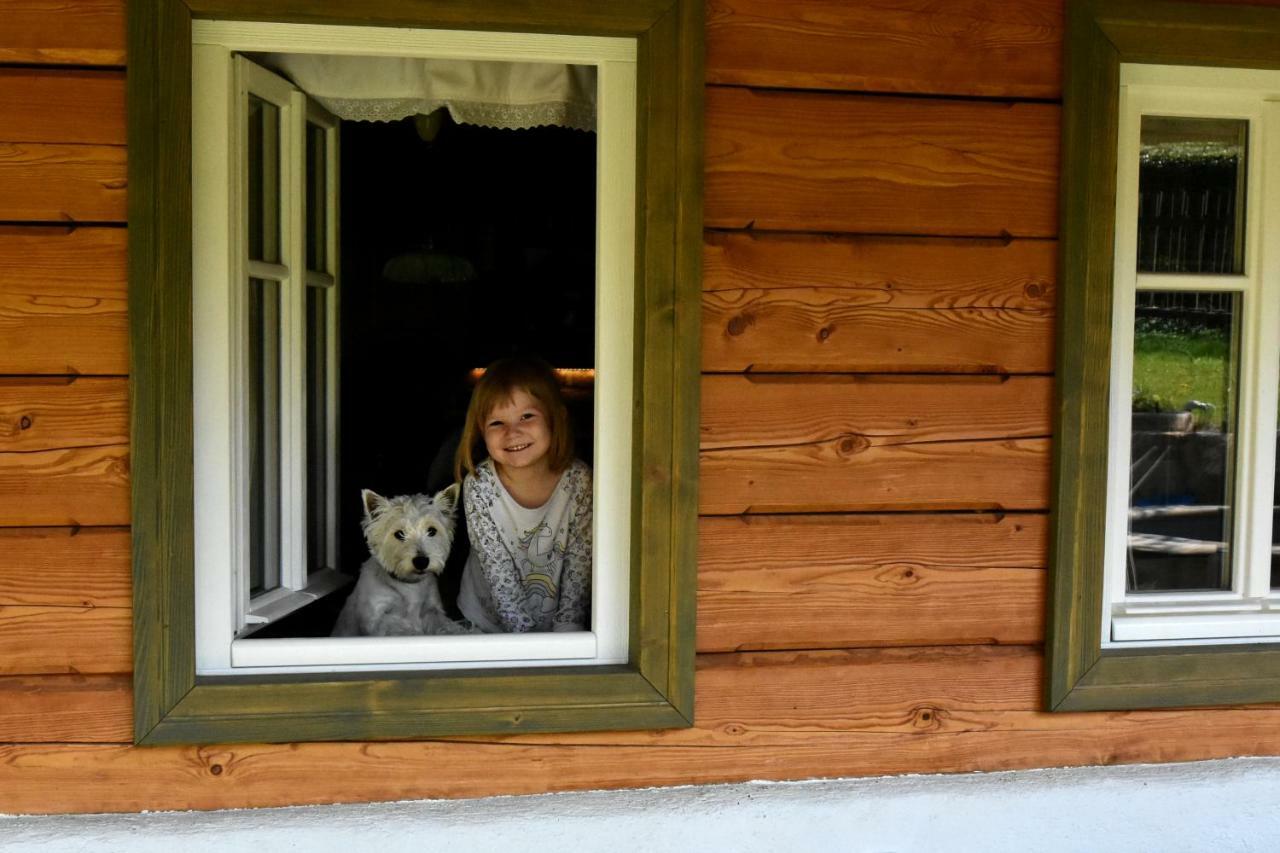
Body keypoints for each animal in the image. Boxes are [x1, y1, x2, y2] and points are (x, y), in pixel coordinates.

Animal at [330, 481, 471, 635]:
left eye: (432, 531)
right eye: (399, 534)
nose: (422, 562)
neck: (410, 585)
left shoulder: (432, 609)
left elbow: (445, 624)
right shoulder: (378, 619)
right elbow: (398, 628)